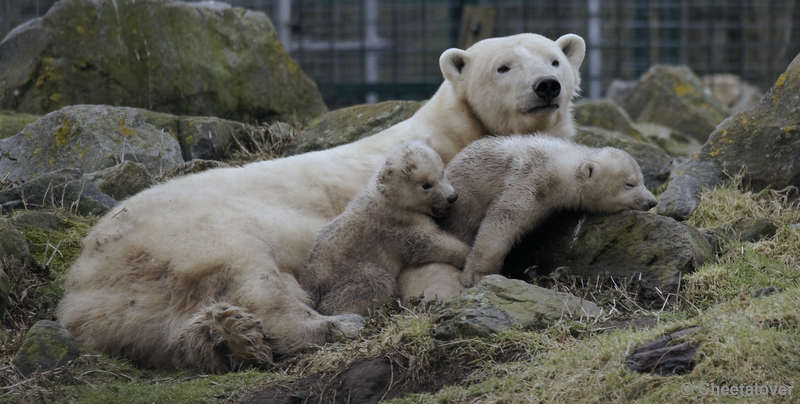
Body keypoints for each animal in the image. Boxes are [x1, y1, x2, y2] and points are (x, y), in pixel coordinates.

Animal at [54, 31, 580, 372]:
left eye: (555, 59)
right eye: (503, 66)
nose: (546, 87)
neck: (459, 129)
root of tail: (81, 280)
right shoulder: (435, 194)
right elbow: (436, 250)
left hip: (132, 307)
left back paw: (227, 341)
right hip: (193, 234)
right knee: (253, 278)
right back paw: (330, 326)